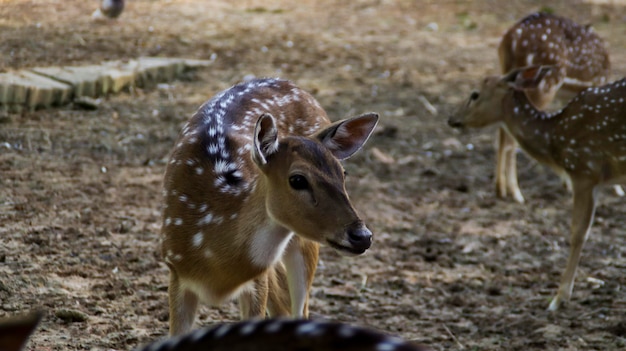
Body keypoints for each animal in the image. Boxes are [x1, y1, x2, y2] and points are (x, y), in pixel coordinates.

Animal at [160, 78, 376, 336]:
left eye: (343, 173)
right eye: (297, 179)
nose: (362, 235)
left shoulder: (258, 280)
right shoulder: (175, 270)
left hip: (303, 244)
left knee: (298, 310)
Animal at [446, 64, 624, 310]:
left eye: (475, 94)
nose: (451, 118)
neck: (553, 137)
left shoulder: (584, 170)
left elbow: (578, 232)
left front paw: (559, 298)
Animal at [490, 12, 612, 204]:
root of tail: (511, 39)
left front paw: (567, 183)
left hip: (507, 76)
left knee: (502, 131)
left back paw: (500, 188)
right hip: (542, 86)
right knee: (512, 136)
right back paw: (516, 193)